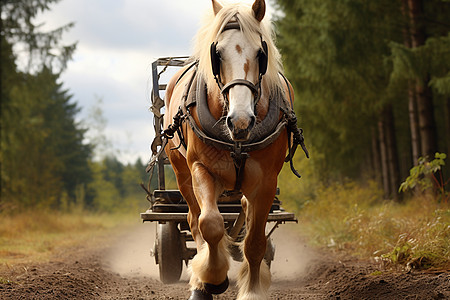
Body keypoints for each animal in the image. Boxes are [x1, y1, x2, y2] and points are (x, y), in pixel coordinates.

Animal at [161, 1, 306, 298]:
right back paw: (199, 280)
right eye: (217, 53)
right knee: (193, 219)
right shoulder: (201, 169)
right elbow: (210, 224)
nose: (240, 120)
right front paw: (212, 278)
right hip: (182, 174)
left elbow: (255, 242)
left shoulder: (266, 182)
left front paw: (251, 289)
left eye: (261, 53)